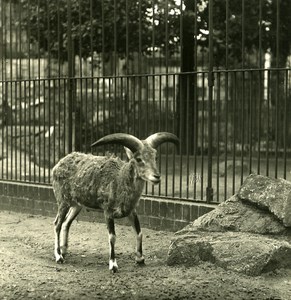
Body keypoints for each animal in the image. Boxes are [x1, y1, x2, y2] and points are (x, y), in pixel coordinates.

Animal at [53, 132, 180, 274]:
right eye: (139, 159)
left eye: (155, 157)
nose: (156, 177)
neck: (119, 180)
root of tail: (58, 164)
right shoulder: (108, 211)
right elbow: (112, 237)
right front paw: (113, 265)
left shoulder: (131, 211)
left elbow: (139, 232)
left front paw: (140, 259)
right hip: (63, 201)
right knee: (57, 224)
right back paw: (59, 256)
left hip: (76, 205)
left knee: (66, 223)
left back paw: (64, 250)